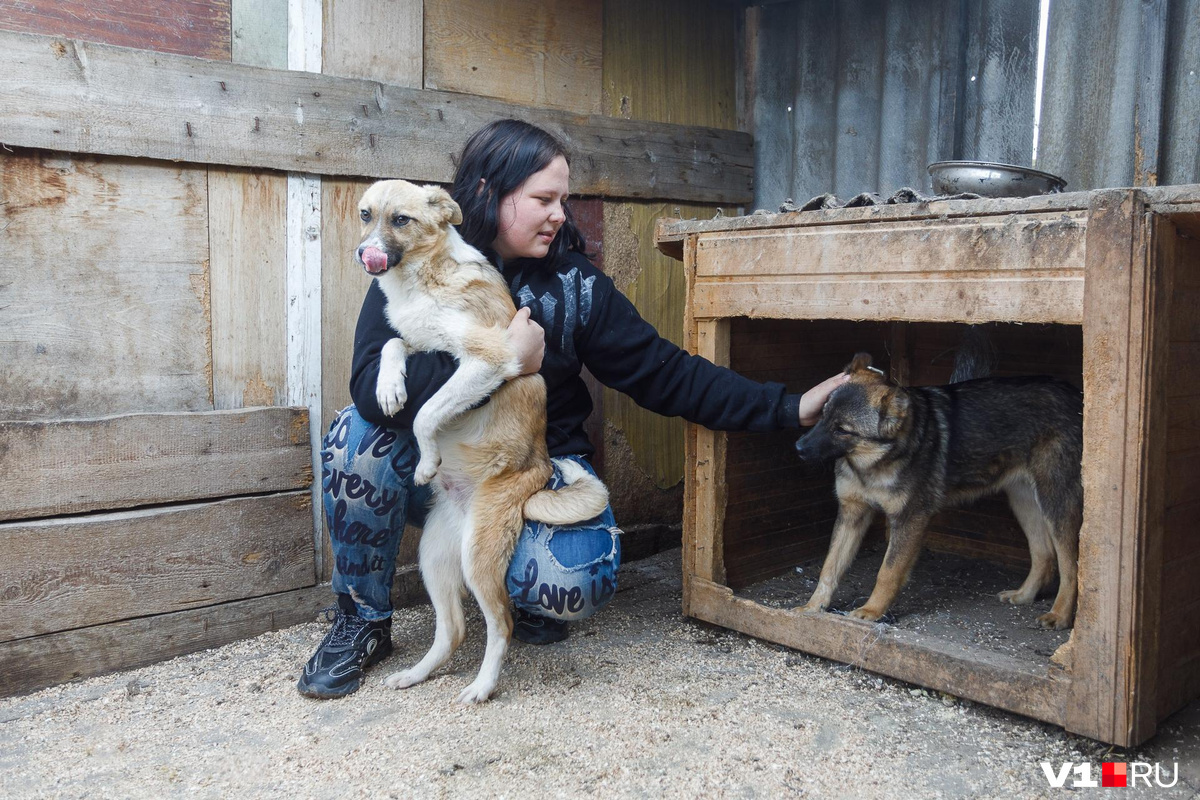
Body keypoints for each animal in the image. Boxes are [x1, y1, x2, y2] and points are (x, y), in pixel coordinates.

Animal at [350, 179, 604, 700]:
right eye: (366, 214)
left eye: (401, 220)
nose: (364, 254)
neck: (423, 277)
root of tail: (535, 477)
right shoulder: (422, 342)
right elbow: (393, 344)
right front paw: (388, 387)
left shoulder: (489, 359)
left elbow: (427, 413)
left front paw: (426, 460)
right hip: (435, 559)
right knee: (454, 629)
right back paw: (417, 674)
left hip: (479, 559)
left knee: (500, 624)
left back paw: (483, 687)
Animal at [792, 352, 1084, 628]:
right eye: (823, 415)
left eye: (843, 430)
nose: (798, 448)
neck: (872, 464)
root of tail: (1077, 396)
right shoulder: (852, 513)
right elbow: (830, 566)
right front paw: (813, 606)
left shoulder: (910, 519)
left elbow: (888, 572)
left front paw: (872, 610)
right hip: (1024, 500)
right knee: (1044, 554)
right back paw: (1024, 595)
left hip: (1055, 502)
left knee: (1072, 564)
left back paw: (1059, 615)